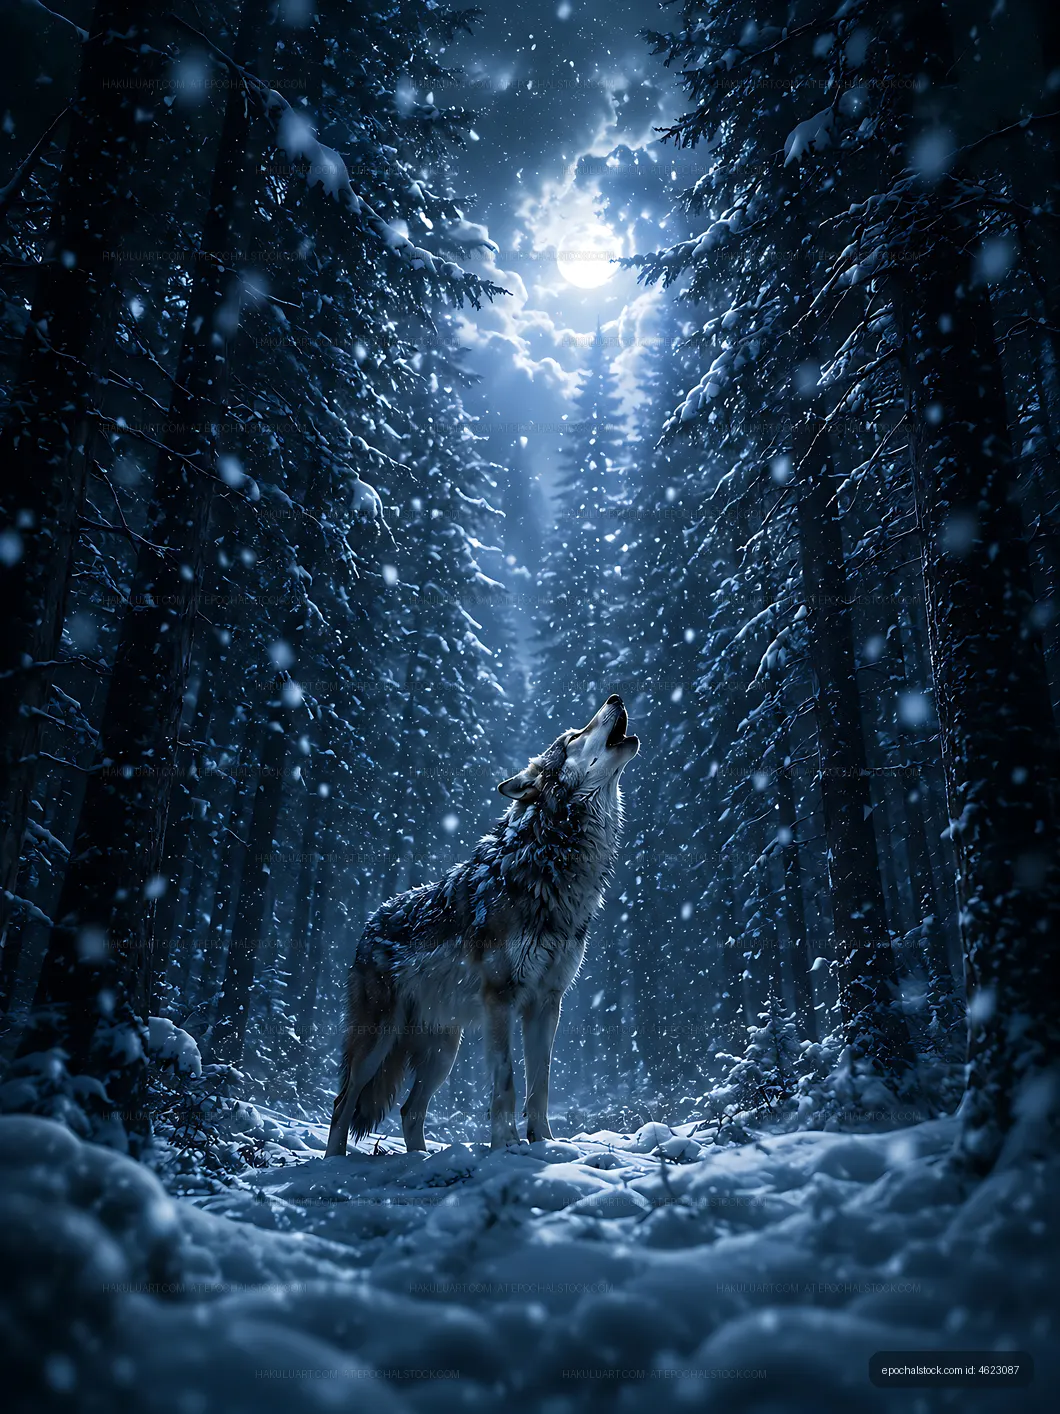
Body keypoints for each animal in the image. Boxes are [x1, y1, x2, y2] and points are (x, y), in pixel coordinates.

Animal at [325, 695, 639, 1156]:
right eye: (573, 737)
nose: (615, 698)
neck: (550, 860)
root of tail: (371, 921)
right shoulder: (500, 999)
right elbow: (506, 1082)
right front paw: (506, 1144)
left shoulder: (547, 1002)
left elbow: (540, 1084)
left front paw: (546, 1144)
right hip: (379, 1040)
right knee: (343, 1101)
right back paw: (333, 1163)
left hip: (444, 1050)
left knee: (409, 1110)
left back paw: (420, 1158)